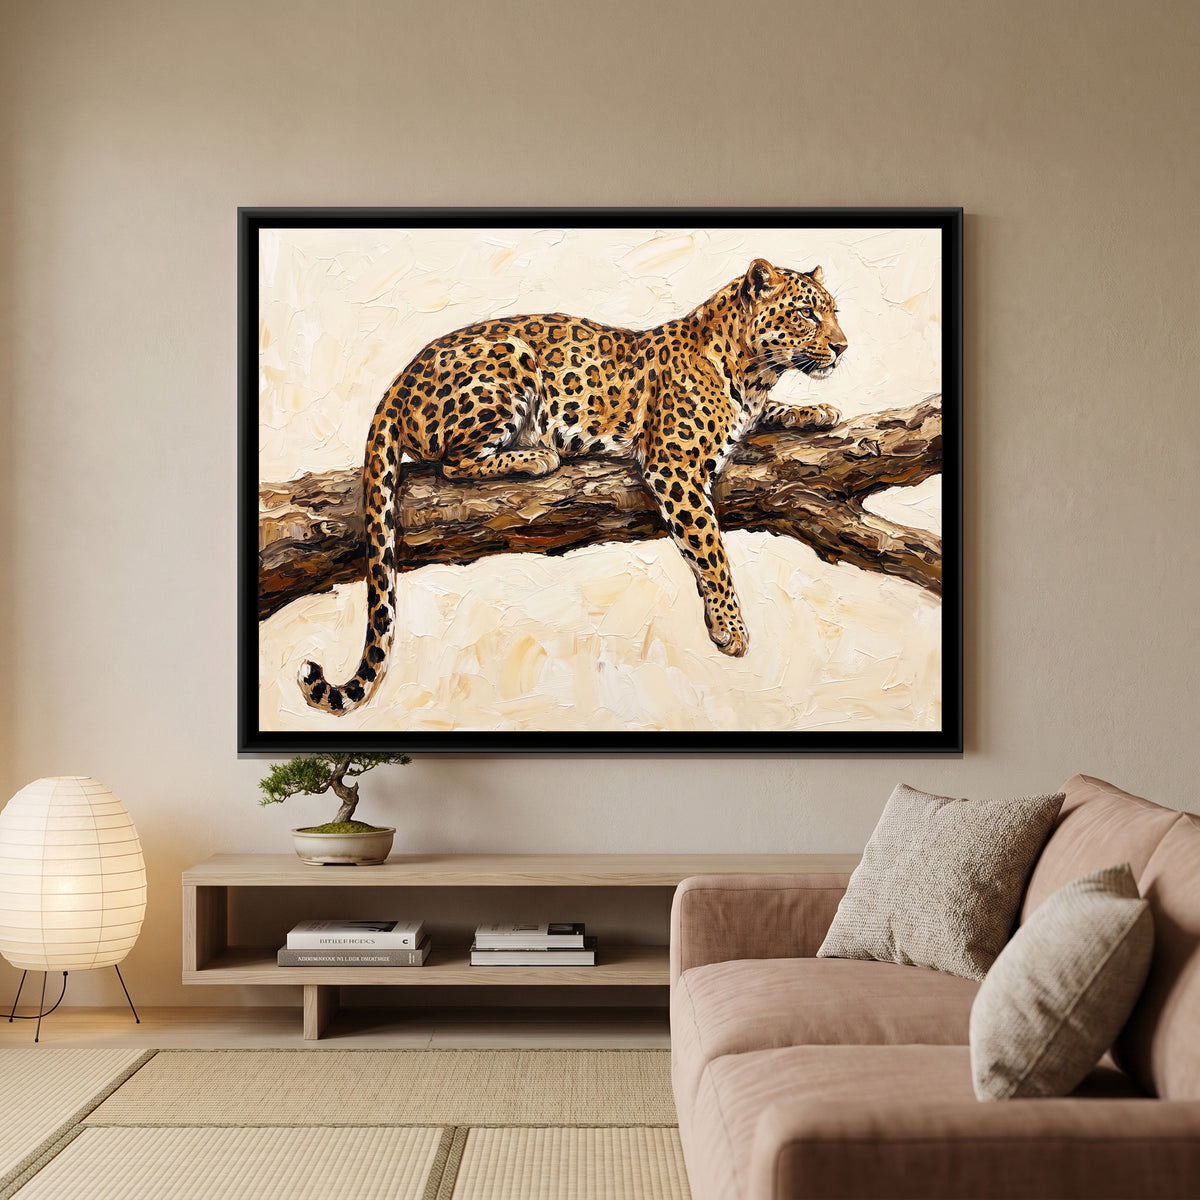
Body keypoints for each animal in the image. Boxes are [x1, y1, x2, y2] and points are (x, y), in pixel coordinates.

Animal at [298, 257, 847, 714]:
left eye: (834, 312)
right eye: (807, 314)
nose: (843, 348)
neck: (753, 372)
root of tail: (397, 382)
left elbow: (768, 416)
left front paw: (817, 410)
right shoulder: (674, 465)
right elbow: (711, 550)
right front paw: (730, 627)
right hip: (510, 359)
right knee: (452, 463)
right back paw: (537, 455)